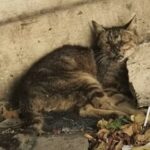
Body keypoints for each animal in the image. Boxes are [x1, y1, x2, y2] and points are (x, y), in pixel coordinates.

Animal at [0, 16, 144, 134]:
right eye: (108, 43)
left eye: (123, 42)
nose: (116, 49)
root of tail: (24, 96)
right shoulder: (108, 87)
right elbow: (126, 102)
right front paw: (138, 113)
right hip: (84, 78)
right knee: (100, 105)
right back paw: (123, 116)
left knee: (84, 110)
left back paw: (117, 115)